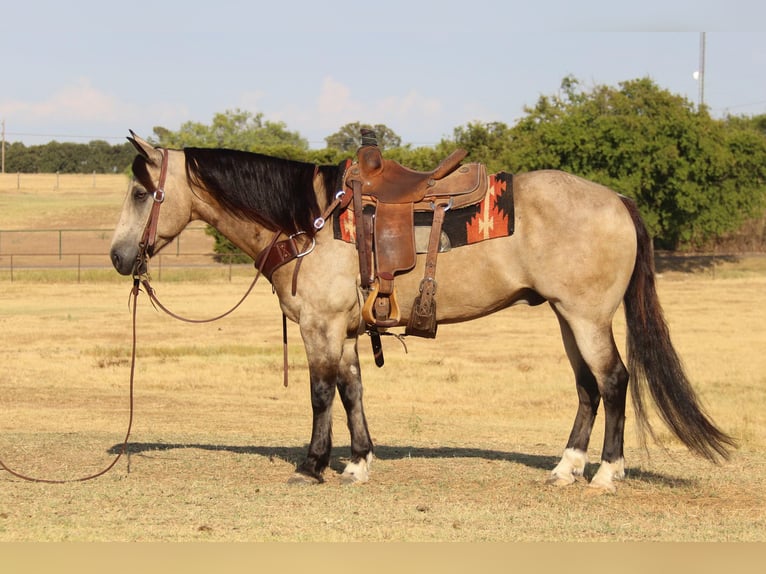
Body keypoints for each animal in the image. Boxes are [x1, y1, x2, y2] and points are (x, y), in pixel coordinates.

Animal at [109, 133, 736, 492]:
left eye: (141, 193)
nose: (118, 257)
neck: (309, 220)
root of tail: (617, 199)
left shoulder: (320, 326)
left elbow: (320, 392)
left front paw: (312, 465)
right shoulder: (346, 329)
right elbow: (353, 389)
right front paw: (358, 462)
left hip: (587, 317)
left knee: (613, 382)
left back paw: (606, 474)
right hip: (566, 317)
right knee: (586, 387)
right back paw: (565, 468)